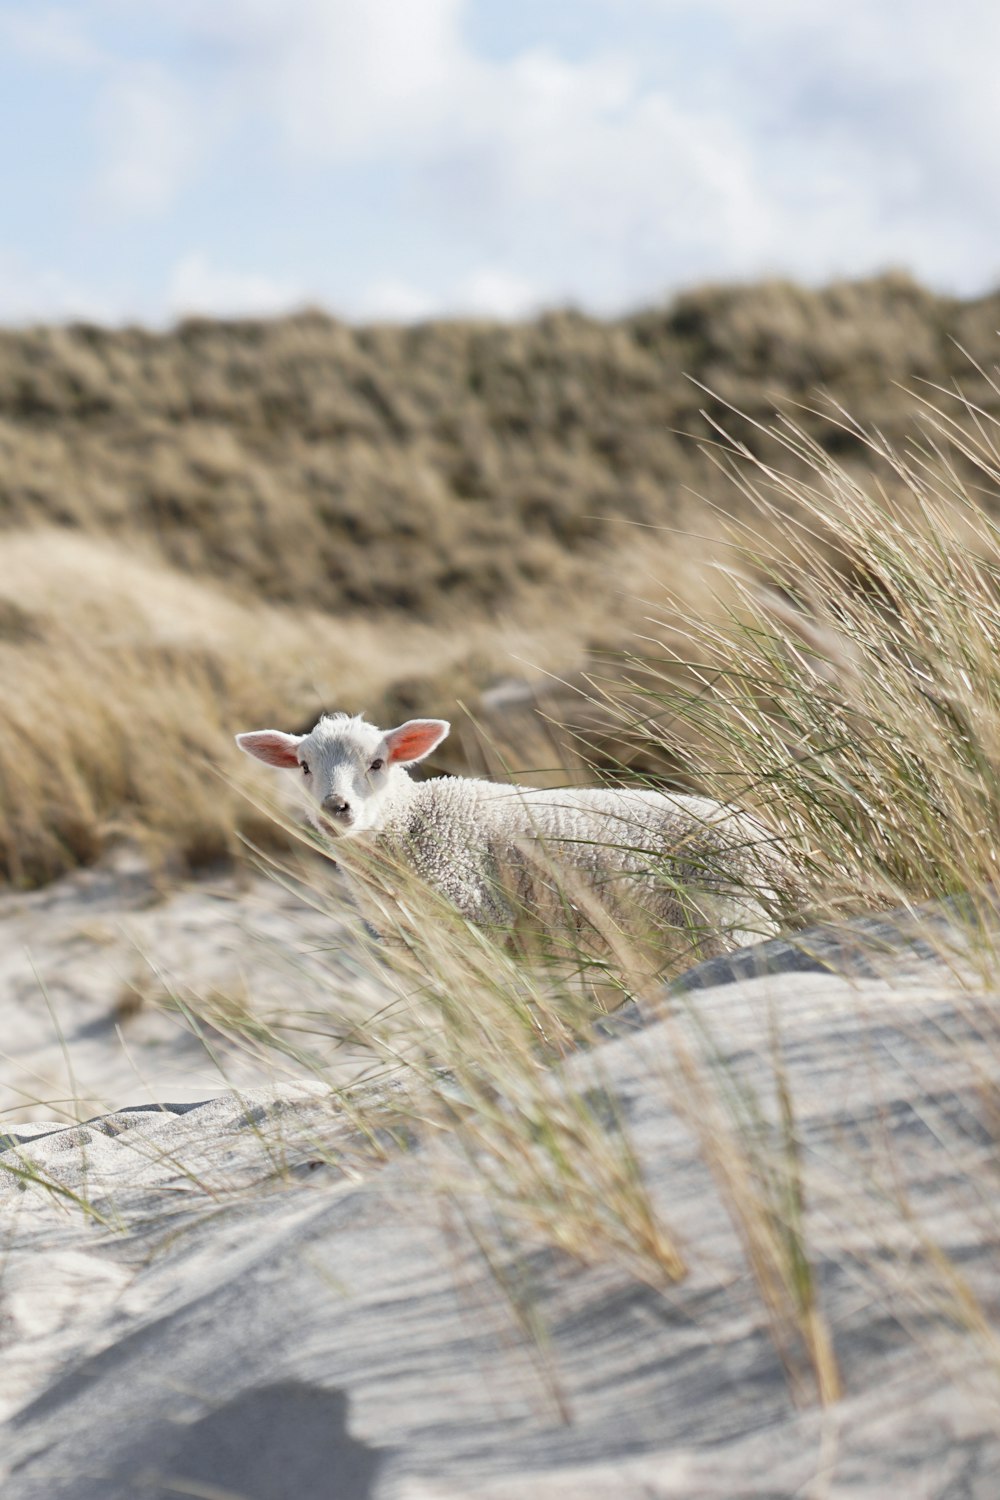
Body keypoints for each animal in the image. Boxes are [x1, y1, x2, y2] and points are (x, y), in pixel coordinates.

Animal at [238, 711, 791, 960]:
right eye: (304, 767)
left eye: (378, 763)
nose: (337, 808)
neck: (412, 824)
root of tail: (769, 840)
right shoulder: (412, 942)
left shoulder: (476, 914)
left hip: (729, 916)